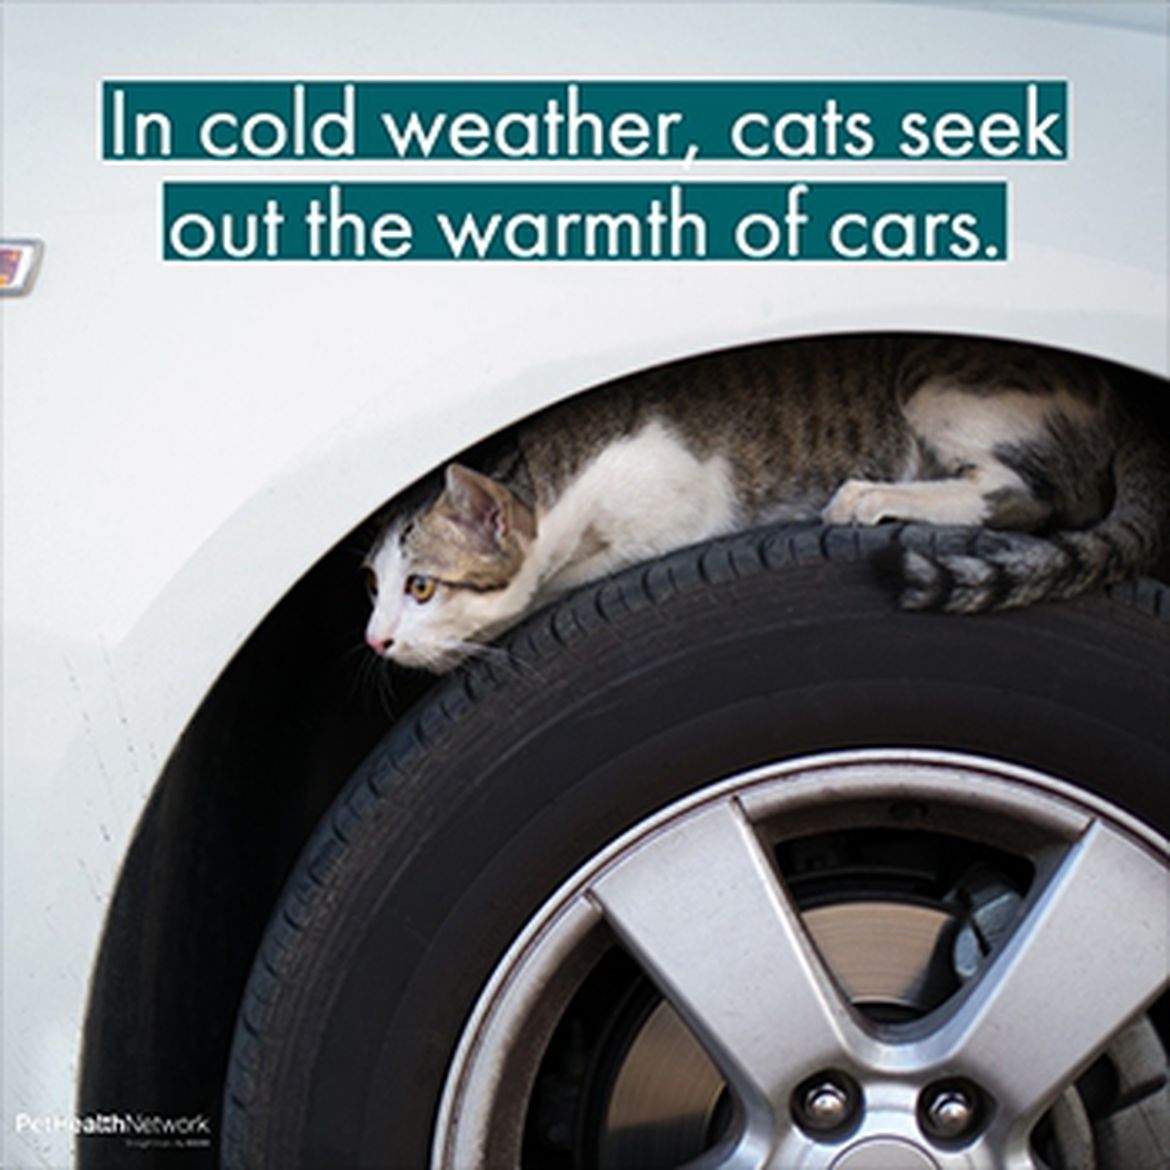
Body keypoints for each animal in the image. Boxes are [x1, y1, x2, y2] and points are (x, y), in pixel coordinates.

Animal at [360, 334, 1165, 673]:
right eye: (373, 589)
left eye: (422, 587)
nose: (374, 641)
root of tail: (1121, 410)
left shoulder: (677, 517)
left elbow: (554, 585)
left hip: (941, 382)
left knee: (1035, 498)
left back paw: (871, 495)